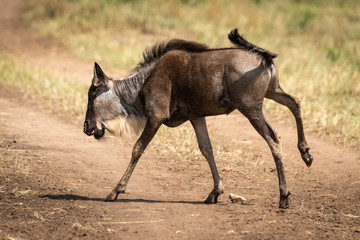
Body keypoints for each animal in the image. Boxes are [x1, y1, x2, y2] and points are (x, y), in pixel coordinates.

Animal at [83, 28, 312, 208]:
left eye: (92, 95)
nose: (86, 127)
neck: (143, 83)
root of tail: (264, 59)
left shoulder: (156, 117)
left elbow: (137, 148)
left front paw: (115, 191)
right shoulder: (197, 117)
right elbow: (206, 149)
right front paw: (215, 193)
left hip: (250, 108)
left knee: (274, 138)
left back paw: (284, 196)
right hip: (273, 92)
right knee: (295, 102)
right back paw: (306, 153)